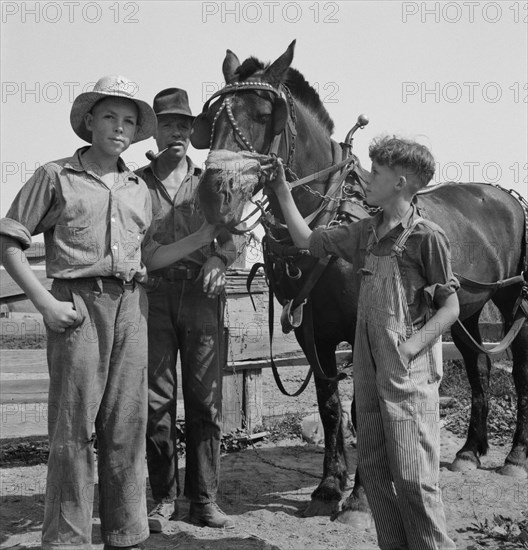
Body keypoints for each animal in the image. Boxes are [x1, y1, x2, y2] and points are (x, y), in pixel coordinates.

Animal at [190, 41, 528, 524]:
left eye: (262, 112)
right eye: (212, 117)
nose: (210, 193)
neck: (329, 214)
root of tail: (505, 194)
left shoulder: (364, 326)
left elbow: (362, 405)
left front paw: (361, 497)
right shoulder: (311, 330)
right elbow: (330, 405)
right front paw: (330, 485)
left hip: (514, 297)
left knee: (518, 370)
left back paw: (515, 455)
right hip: (466, 308)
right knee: (476, 361)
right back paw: (470, 450)